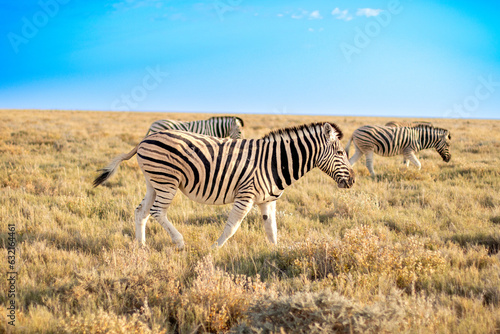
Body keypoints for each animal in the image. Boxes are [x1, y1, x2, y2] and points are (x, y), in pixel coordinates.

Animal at [94, 122, 356, 248]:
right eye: (340, 153)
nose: (353, 180)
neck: (274, 162)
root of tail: (144, 140)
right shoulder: (246, 195)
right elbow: (232, 227)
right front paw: (214, 249)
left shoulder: (267, 201)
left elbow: (271, 230)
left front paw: (276, 254)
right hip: (167, 181)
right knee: (158, 212)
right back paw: (179, 242)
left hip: (153, 181)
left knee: (141, 212)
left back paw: (141, 247)